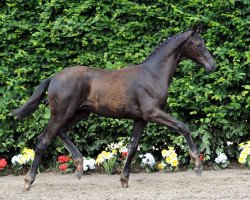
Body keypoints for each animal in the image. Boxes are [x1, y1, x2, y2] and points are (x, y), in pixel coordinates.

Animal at [13, 25, 216, 191]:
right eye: (198, 44)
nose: (212, 66)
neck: (153, 74)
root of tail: (53, 78)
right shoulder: (152, 113)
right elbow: (183, 127)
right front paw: (197, 165)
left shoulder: (140, 119)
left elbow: (132, 146)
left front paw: (124, 180)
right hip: (61, 113)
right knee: (43, 140)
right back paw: (28, 181)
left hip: (80, 113)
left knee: (61, 132)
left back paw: (79, 166)